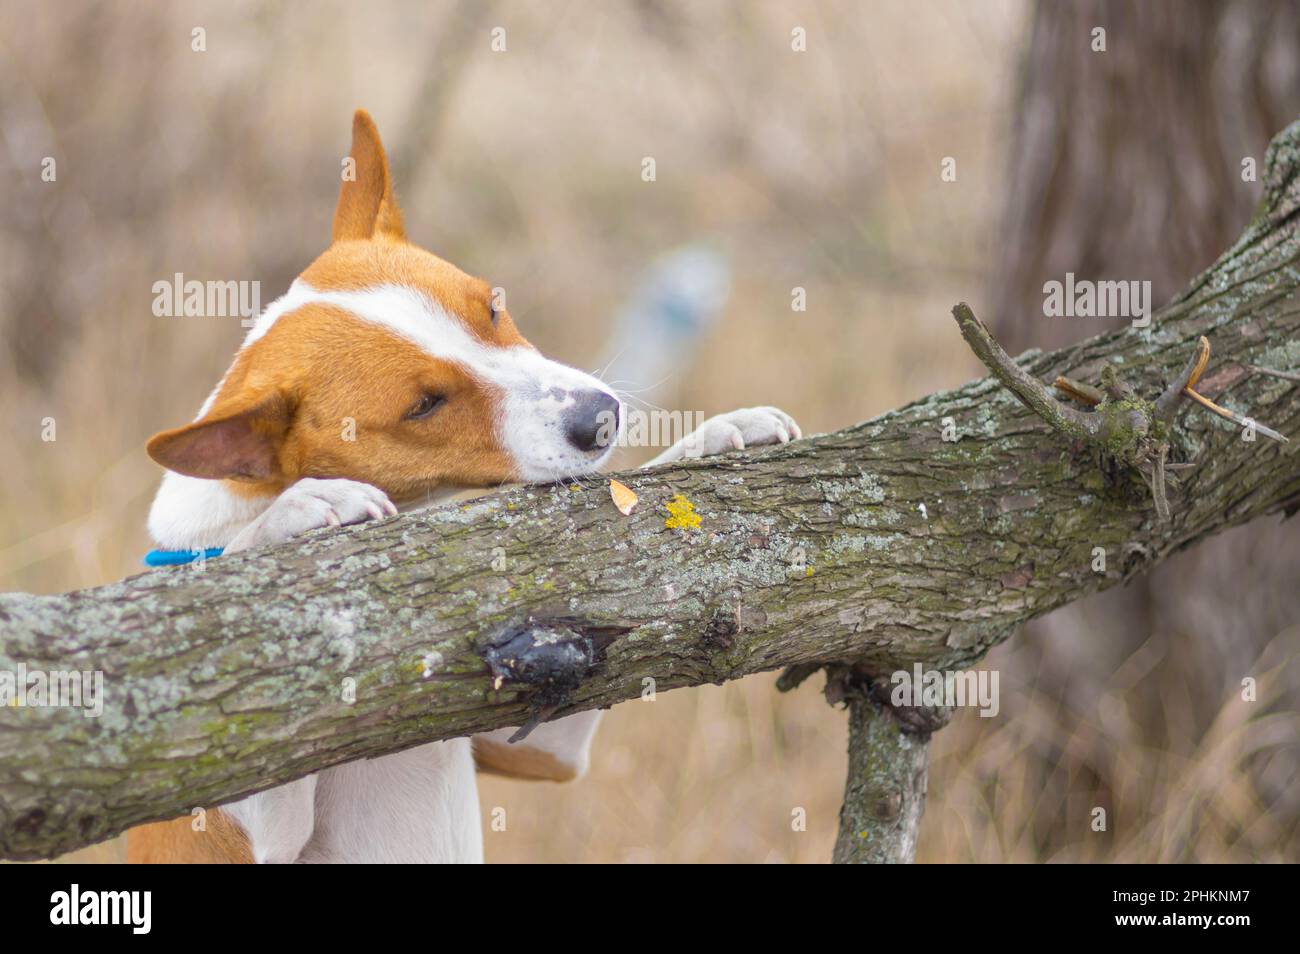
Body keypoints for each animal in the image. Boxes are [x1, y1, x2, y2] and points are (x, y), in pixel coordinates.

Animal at [126, 111, 795, 868]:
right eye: (423, 406)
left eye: (493, 308)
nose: (599, 418)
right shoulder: (214, 831)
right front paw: (295, 513)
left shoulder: (544, 744)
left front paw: (711, 435)